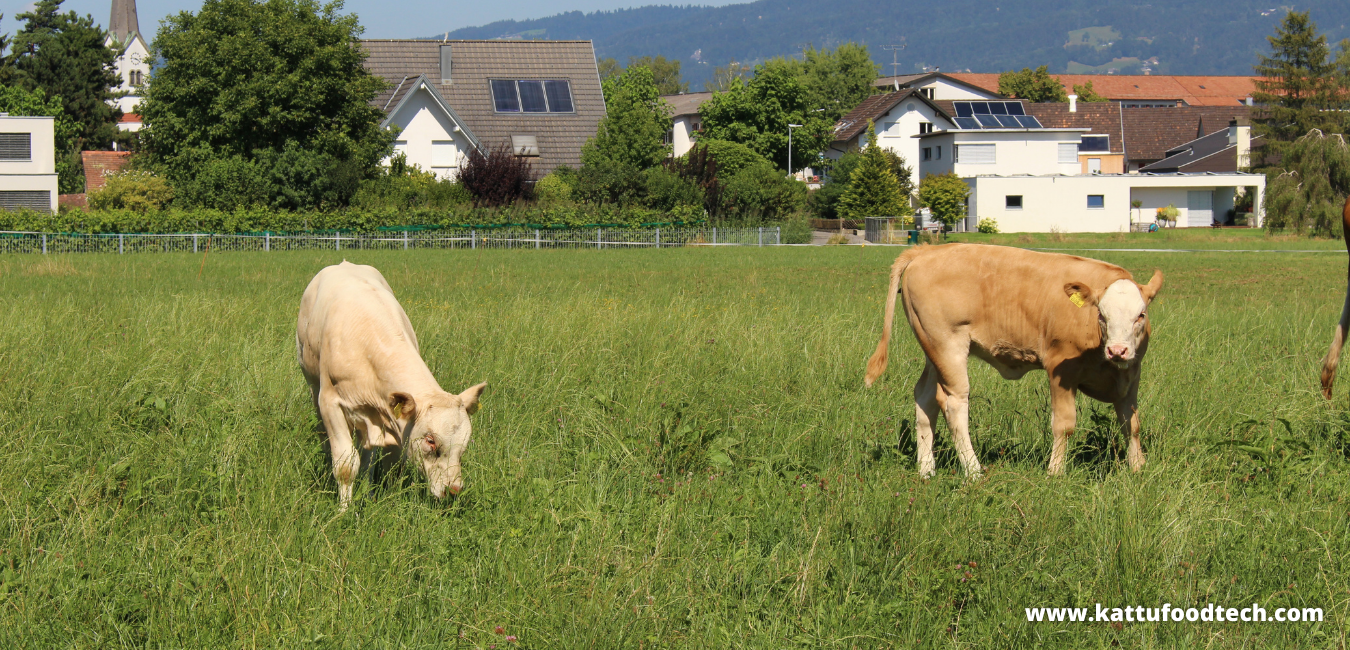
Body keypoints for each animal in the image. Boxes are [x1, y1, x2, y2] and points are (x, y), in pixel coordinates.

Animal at [297, 261, 487, 511]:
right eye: (430, 440)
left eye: (464, 443)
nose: (453, 490)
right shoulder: (331, 404)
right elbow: (345, 465)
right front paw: (343, 511)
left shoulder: (395, 421)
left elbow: (390, 465)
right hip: (312, 384)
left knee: (367, 455)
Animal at [864, 244, 1163, 479]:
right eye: (1101, 314)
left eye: (1141, 314)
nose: (1118, 350)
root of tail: (927, 251)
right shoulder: (1061, 370)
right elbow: (1064, 424)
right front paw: (1055, 472)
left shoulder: (1132, 375)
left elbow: (1131, 423)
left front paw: (1138, 467)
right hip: (947, 347)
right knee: (953, 403)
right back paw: (973, 471)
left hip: (932, 352)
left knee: (925, 399)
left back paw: (927, 470)